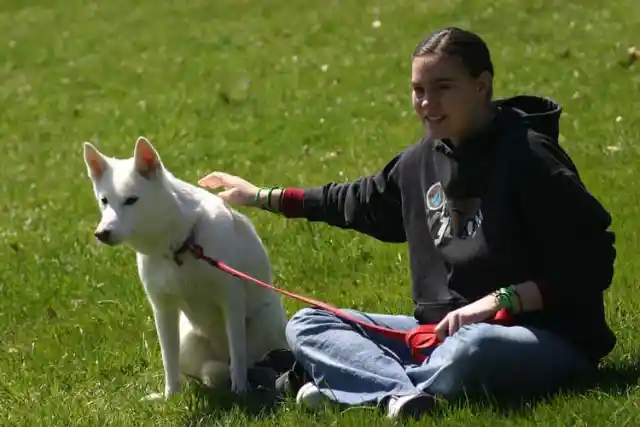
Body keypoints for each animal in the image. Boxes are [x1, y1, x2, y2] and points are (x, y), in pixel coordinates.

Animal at [82, 137, 290, 402]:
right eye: (104, 201)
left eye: (131, 200)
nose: (101, 234)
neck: (180, 247)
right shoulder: (163, 309)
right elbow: (168, 360)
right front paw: (170, 397)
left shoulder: (231, 300)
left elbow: (238, 354)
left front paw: (240, 390)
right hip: (188, 340)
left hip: (262, 324)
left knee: (251, 360)